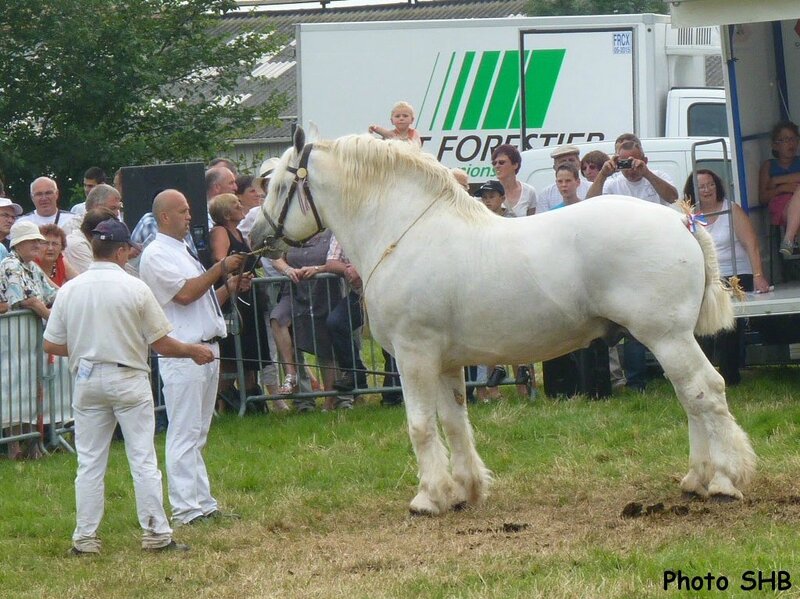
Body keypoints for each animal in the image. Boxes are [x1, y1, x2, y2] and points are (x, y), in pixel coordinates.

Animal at [252, 127, 756, 516]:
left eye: (276, 186)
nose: (256, 236)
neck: (404, 233)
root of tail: (681, 221)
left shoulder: (415, 357)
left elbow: (420, 426)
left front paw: (428, 498)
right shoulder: (446, 362)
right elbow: (455, 421)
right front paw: (465, 490)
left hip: (666, 337)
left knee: (705, 392)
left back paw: (725, 481)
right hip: (669, 339)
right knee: (690, 398)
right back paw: (696, 478)